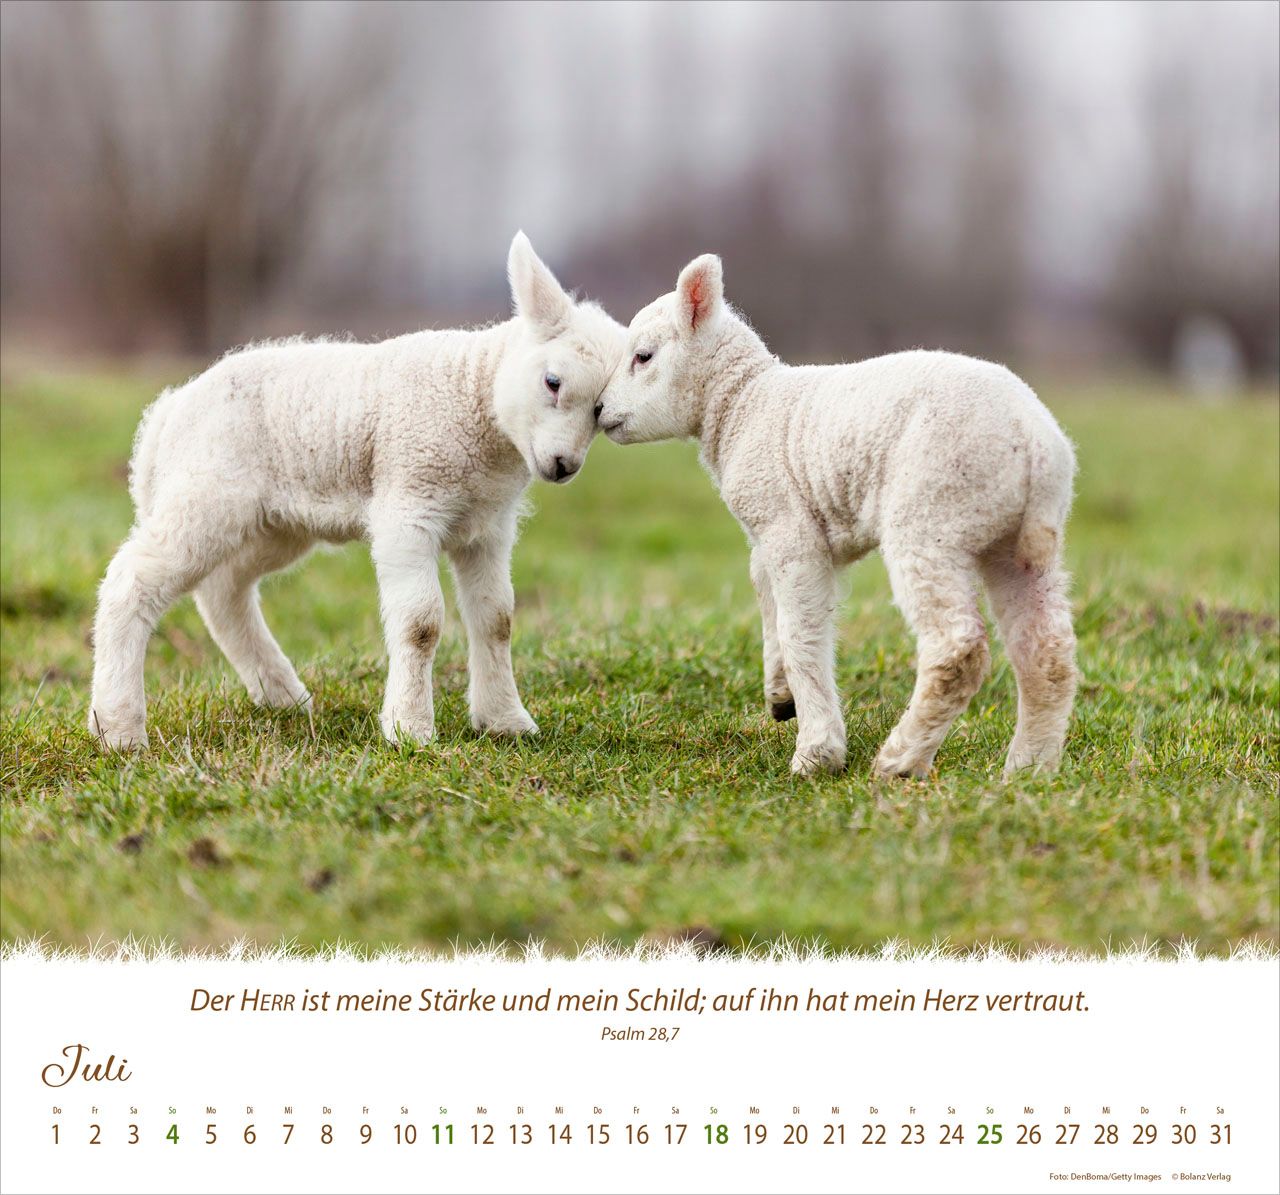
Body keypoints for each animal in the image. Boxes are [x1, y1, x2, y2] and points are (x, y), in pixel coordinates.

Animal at [89, 233, 625, 751]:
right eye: (552, 382)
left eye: (601, 412)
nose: (563, 466)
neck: (474, 396)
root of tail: (167, 413)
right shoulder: (409, 504)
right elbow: (421, 623)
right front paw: (410, 729)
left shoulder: (487, 527)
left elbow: (497, 619)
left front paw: (505, 722)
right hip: (206, 493)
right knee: (132, 581)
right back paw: (118, 728)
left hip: (273, 523)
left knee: (224, 591)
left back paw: (283, 697)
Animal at [596, 254, 1077, 779]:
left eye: (643, 356)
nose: (598, 410)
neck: (743, 404)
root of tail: (1033, 440)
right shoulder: (778, 531)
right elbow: (766, 595)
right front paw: (780, 695)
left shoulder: (788, 529)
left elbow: (801, 632)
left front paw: (817, 752)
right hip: (1014, 540)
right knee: (1047, 651)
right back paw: (1028, 768)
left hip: (932, 515)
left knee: (958, 649)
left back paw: (900, 761)